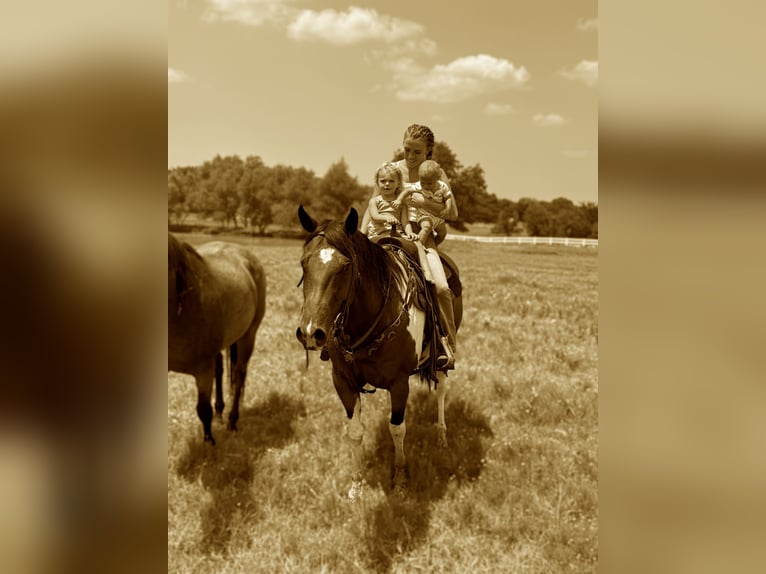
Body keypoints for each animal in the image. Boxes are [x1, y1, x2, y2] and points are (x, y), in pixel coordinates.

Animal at [168, 233, 266, 445]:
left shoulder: (203, 371)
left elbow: (203, 409)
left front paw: (209, 443)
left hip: (248, 335)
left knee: (239, 374)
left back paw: (232, 420)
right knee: (220, 368)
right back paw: (220, 413)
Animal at [295, 205, 462, 498]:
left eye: (345, 266)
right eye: (304, 262)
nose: (310, 332)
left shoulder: (399, 383)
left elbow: (397, 429)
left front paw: (400, 481)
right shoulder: (343, 381)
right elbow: (355, 432)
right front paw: (356, 484)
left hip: (442, 360)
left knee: (442, 390)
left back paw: (442, 435)